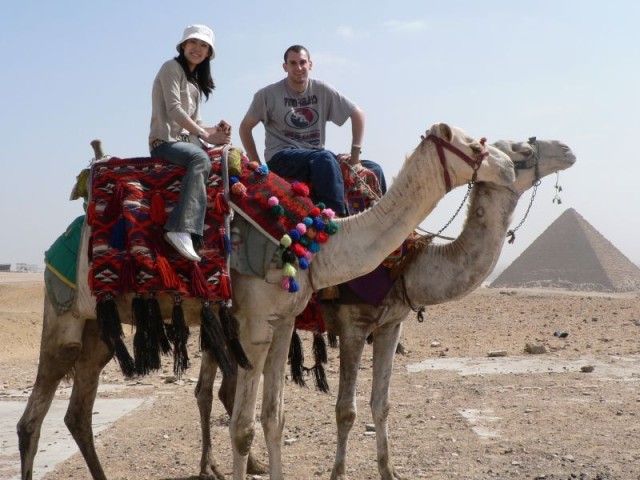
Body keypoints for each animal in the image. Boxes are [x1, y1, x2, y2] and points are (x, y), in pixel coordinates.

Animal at [16, 122, 516, 478]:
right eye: (475, 147)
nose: (510, 167)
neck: (316, 241)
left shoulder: (283, 324)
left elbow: (274, 419)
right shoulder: (258, 328)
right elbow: (243, 428)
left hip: (99, 331)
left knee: (78, 413)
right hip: (62, 314)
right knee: (30, 422)